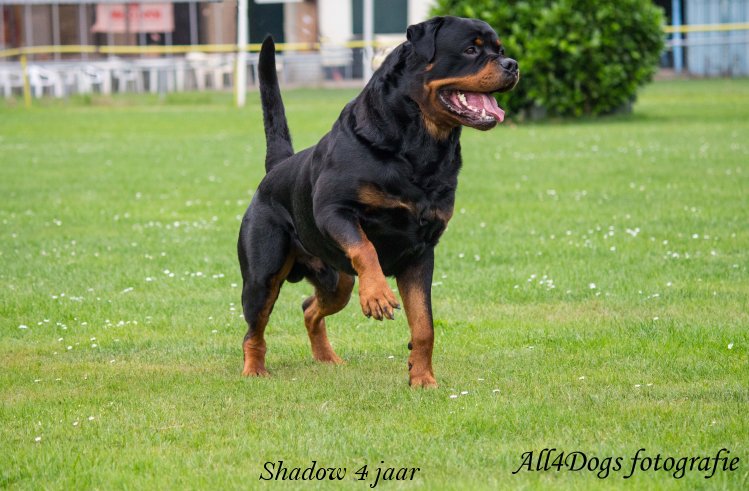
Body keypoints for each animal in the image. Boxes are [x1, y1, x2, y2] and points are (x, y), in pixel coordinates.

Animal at [238, 16, 518, 388]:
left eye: (499, 49)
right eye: (471, 50)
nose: (512, 65)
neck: (421, 146)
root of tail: (278, 168)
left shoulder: (420, 252)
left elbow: (424, 325)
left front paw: (422, 379)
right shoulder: (334, 211)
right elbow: (365, 248)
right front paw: (377, 295)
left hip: (336, 279)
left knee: (310, 308)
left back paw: (327, 358)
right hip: (263, 274)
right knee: (254, 328)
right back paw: (254, 369)